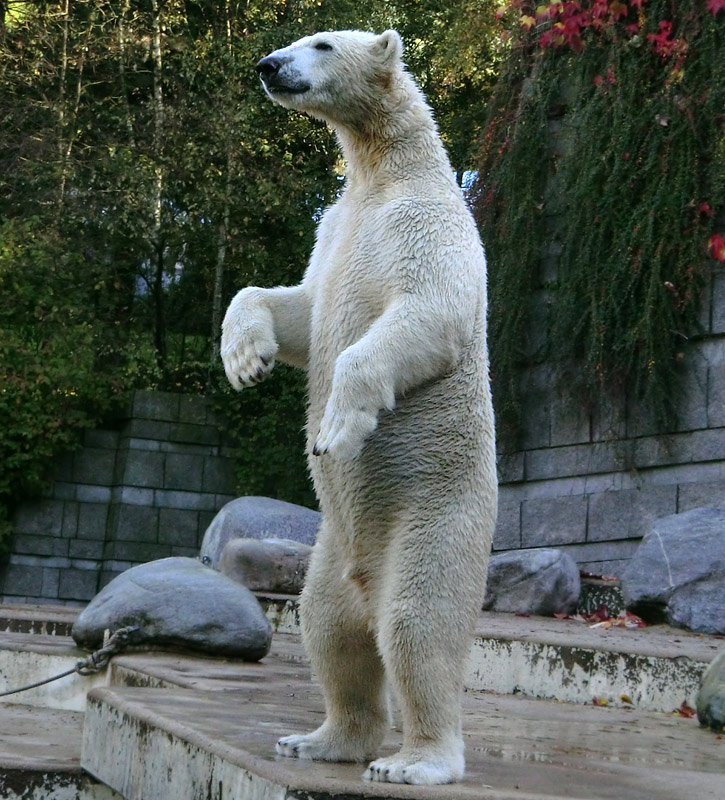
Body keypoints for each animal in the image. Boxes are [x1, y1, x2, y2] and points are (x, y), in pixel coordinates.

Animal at [219, 28, 498, 784]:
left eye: (320, 43)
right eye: (295, 39)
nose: (268, 65)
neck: (385, 172)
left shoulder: (428, 227)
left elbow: (426, 311)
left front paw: (335, 430)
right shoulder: (336, 229)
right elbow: (299, 309)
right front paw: (245, 360)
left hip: (439, 512)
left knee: (416, 623)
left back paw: (415, 761)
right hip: (331, 547)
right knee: (330, 625)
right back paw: (322, 739)